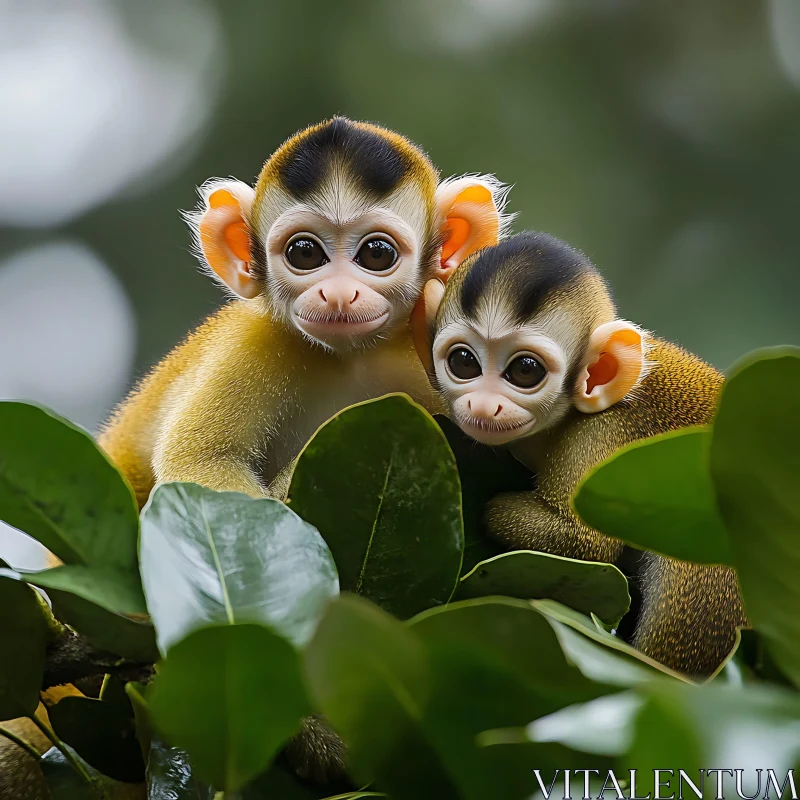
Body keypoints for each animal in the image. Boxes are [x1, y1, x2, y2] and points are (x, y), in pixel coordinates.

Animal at [416, 231, 748, 676]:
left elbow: (584, 543)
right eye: (464, 361)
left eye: (525, 370)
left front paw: (493, 508)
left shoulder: (598, 439)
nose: (484, 405)